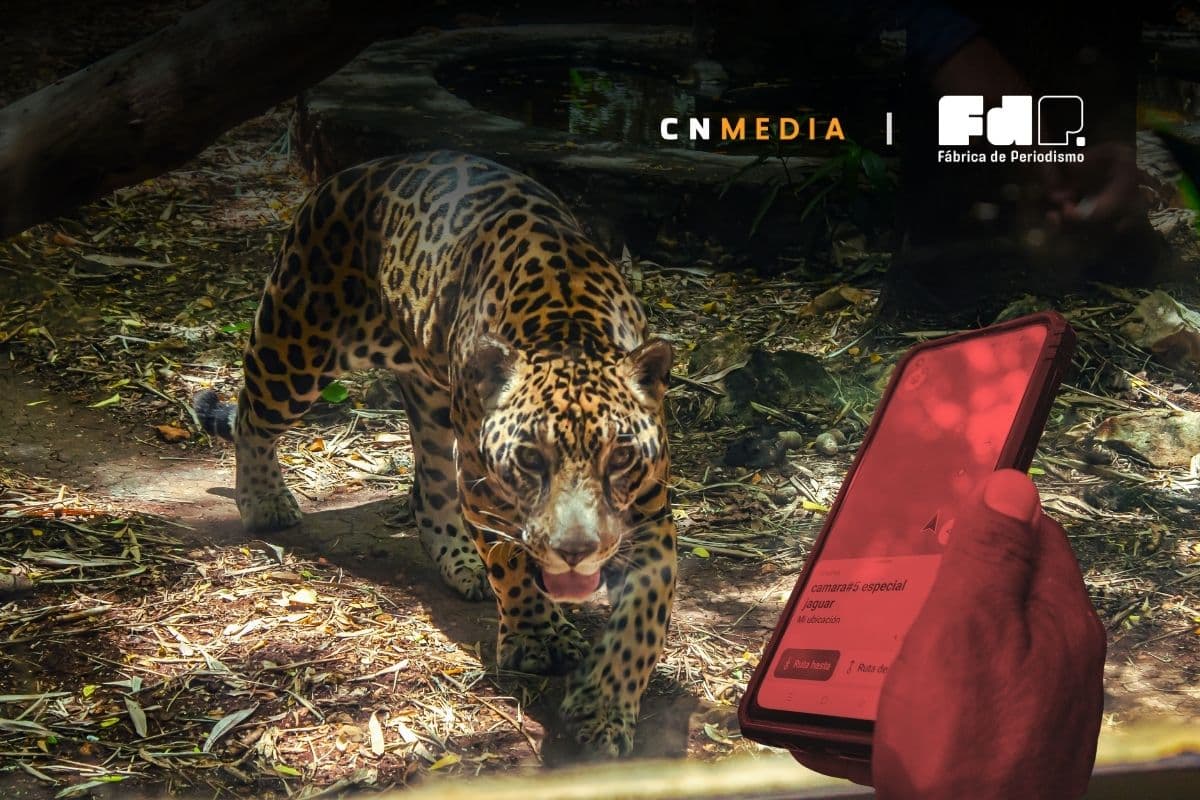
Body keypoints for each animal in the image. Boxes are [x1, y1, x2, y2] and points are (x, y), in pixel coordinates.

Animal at [193, 151, 676, 756]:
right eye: (530, 461)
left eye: (620, 458)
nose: (574, 552)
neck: (571, 331)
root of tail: (352, 173)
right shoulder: (490, 493)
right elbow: (511, 559)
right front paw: (538, 637)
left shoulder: (652, 511)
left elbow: (644, 609)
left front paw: (604, 706)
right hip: (297, 342)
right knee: (251, 414)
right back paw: (264, 502)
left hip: (431, 401)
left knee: (431, 488)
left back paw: (460, 561)